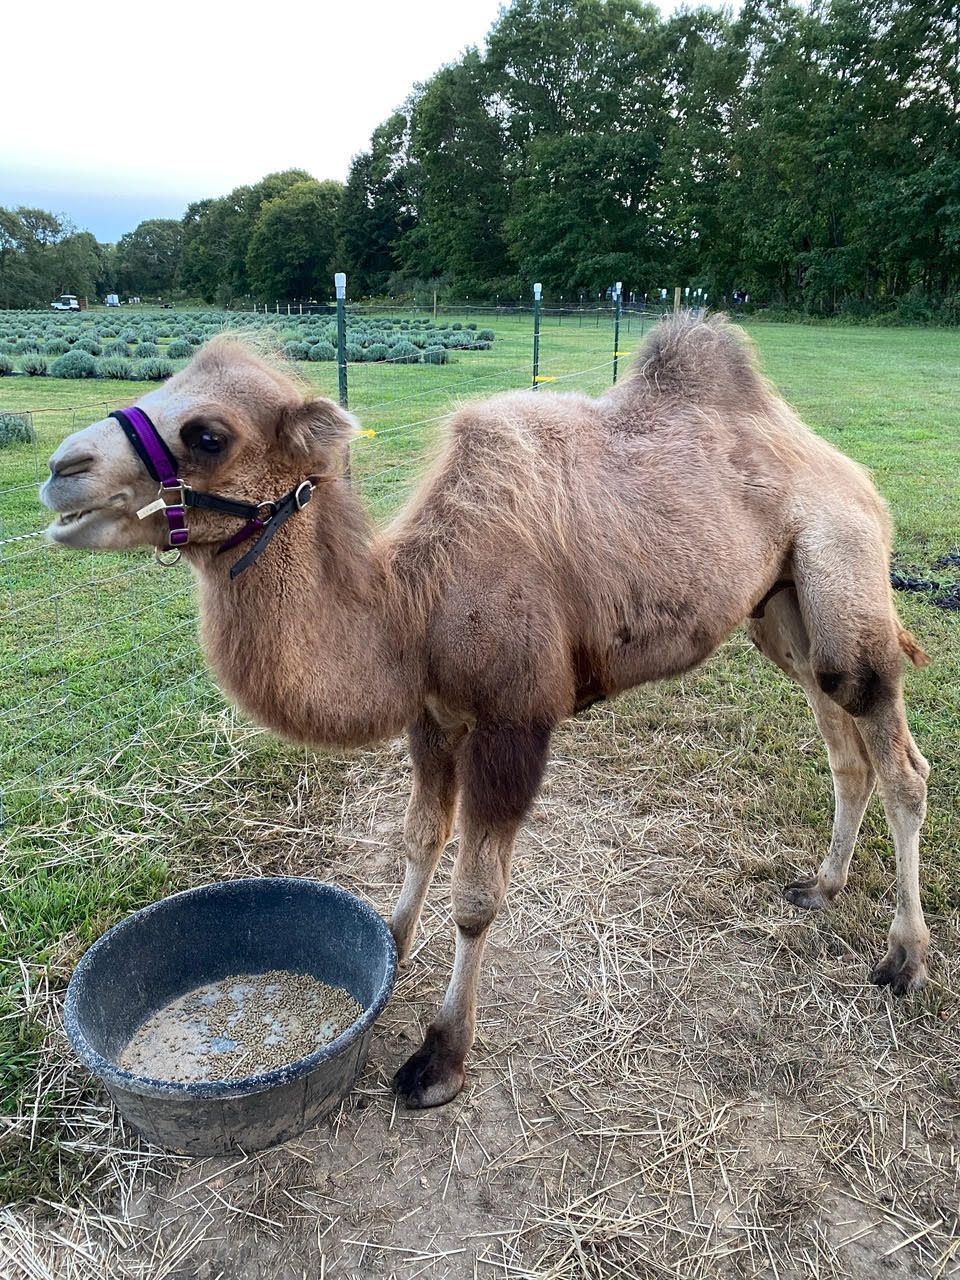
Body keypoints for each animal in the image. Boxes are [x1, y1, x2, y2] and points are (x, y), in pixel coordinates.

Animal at [41, 315, 931, 1109]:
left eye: (207, 434)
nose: (61, 467)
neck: (415, 609)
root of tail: (838, 463)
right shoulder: (433, 718)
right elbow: (418, 838)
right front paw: (389, 949)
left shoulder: (514, 722)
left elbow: (475, 899)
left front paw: (440, 1059)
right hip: (778, 608)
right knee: (843, 744)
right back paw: (821, 887)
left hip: (844, 565)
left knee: (898, 759)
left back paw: (904, 959)